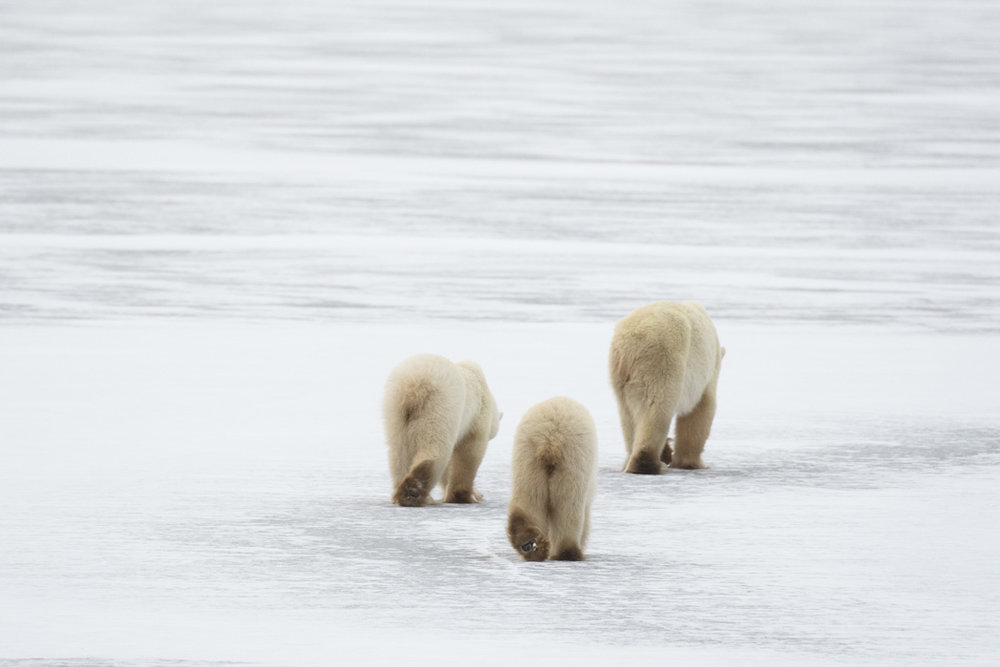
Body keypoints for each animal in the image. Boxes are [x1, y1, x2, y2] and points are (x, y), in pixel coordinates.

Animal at [383, 353, 501, 507]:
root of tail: (413, 386)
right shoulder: (476, 417)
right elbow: (469, 453)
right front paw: (465, 496)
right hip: (440, 407)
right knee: (436, 448)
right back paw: (414, 493)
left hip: (395, 410)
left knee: (398, 452)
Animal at [507, 396, 597, 562]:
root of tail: (550, 439)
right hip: (572, 459)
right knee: (569, 505)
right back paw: (567, 553)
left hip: (527, 458)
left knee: (528, 498)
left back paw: (529, 545)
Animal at [609, 301, 725, 474]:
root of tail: (630, 345)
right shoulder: (708, 373)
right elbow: (701, 410)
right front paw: (692, 463)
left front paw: (668, 453)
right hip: (663, 360)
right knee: (656, 407)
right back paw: (649, 464)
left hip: (620, 376)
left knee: (627, 416)